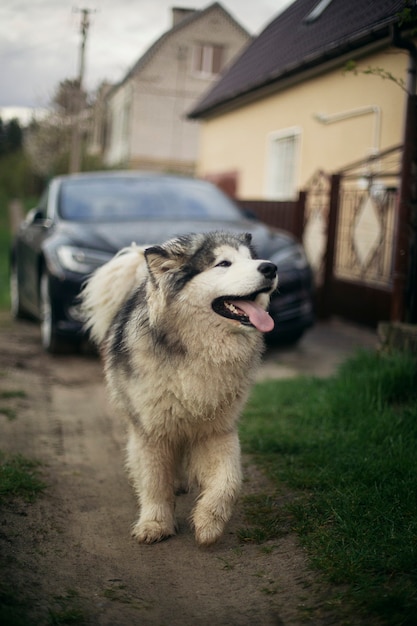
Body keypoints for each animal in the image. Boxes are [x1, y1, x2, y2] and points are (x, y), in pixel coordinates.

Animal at [81, 232, 276, 544]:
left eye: (251, 259)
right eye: (224, 263)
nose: (271, 267)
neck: (197, 351)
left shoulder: (217, 429)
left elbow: (229, 480)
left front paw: (209, 521)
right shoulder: (152, 431)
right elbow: (155, 481)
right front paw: (155, 523)